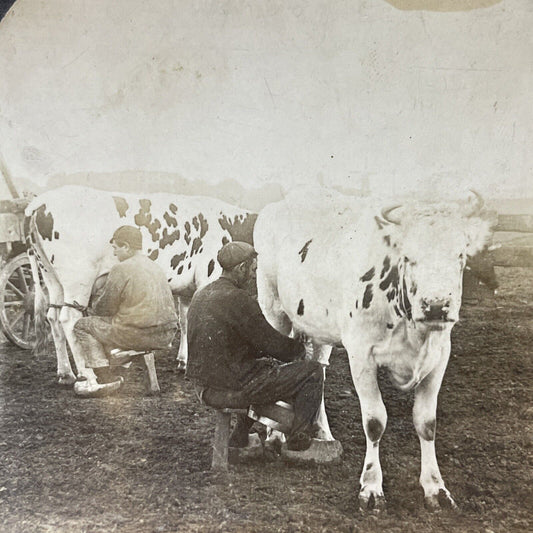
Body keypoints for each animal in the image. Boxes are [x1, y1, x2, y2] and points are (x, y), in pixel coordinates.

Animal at [25, 185, 256, 384]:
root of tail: (42, 201)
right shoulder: (207, 277)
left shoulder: (187, 288)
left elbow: (185, 320)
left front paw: (183, 361)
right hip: (78, 278)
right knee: (69, 319)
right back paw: (87, 375)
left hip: (51, 277)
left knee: (53, 316)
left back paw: (65, 373)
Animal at [254, 185, 494, 510]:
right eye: (409, 257)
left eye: (460, 255)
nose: (435, 306)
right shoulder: (361, 355)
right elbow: (375, 422)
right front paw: (370, 486)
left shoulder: (440, 354)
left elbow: (427, 423)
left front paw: (435, 487)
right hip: (273, 311)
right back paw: (275, 437)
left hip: (319, 328)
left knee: (317, 368)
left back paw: (323, 433)